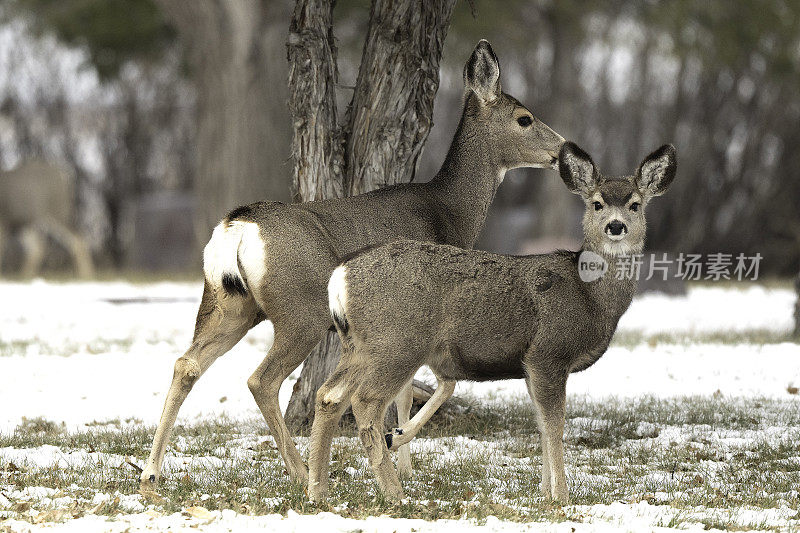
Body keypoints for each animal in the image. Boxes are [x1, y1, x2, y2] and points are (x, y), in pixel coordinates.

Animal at [139, 38, 564, 486]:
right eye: (524, 118)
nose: (561, 150)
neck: (448, 212)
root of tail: (237, 225)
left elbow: (412, 390)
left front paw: (400, 455)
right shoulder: (419, 310)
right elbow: (426, 388)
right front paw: (400, 452)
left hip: (229, 304)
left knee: (186, 363)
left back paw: (151, 470)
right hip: (301, 310)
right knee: (261, 380)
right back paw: (300, 470)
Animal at [310, 141, 680, 502]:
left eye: (635, 205)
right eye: (597, 203)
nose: (615, 226)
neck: (590, 298)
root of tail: (340, 275)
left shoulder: (529, 365)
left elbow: (541, 425)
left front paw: (544, 490)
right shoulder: (548, 353)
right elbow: (555, 425)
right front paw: (561, 495)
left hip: (357, 344)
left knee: (329, 395)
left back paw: (317, 489)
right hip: (398, 341)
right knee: (365, 403)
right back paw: (393, 492)